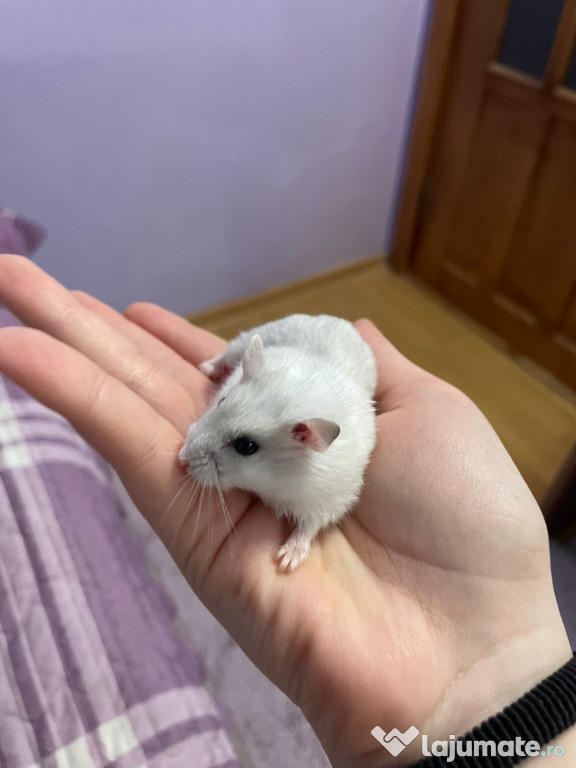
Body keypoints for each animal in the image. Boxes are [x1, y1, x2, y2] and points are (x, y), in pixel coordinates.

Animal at [178, 314, 377, 572]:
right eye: (221, 401)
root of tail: (341, 321)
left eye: (246, 446)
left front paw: (285, 562)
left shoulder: (327, 500)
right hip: (247, 340)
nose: (180, 459)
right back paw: (206, 367)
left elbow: (309, 527)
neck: (278, 480)